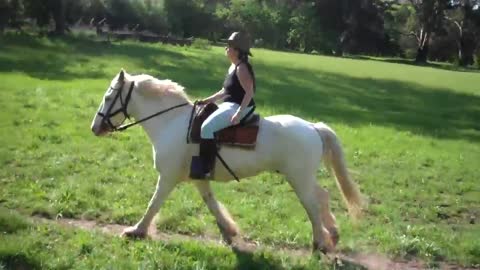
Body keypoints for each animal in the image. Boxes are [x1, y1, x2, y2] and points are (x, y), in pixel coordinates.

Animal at [90, 69, 362, 253]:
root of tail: (313, 127)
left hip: (299, 179)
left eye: (109, 97)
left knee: (312, 205)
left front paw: (137, 230)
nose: (95, 128)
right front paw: (229, 231)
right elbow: (211, 203)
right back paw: (333, 236)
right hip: (303, 177)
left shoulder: (167, 178)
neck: (171, 122)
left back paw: (319, 242)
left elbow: (153, 204)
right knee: (323, 197)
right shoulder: (198, 178)